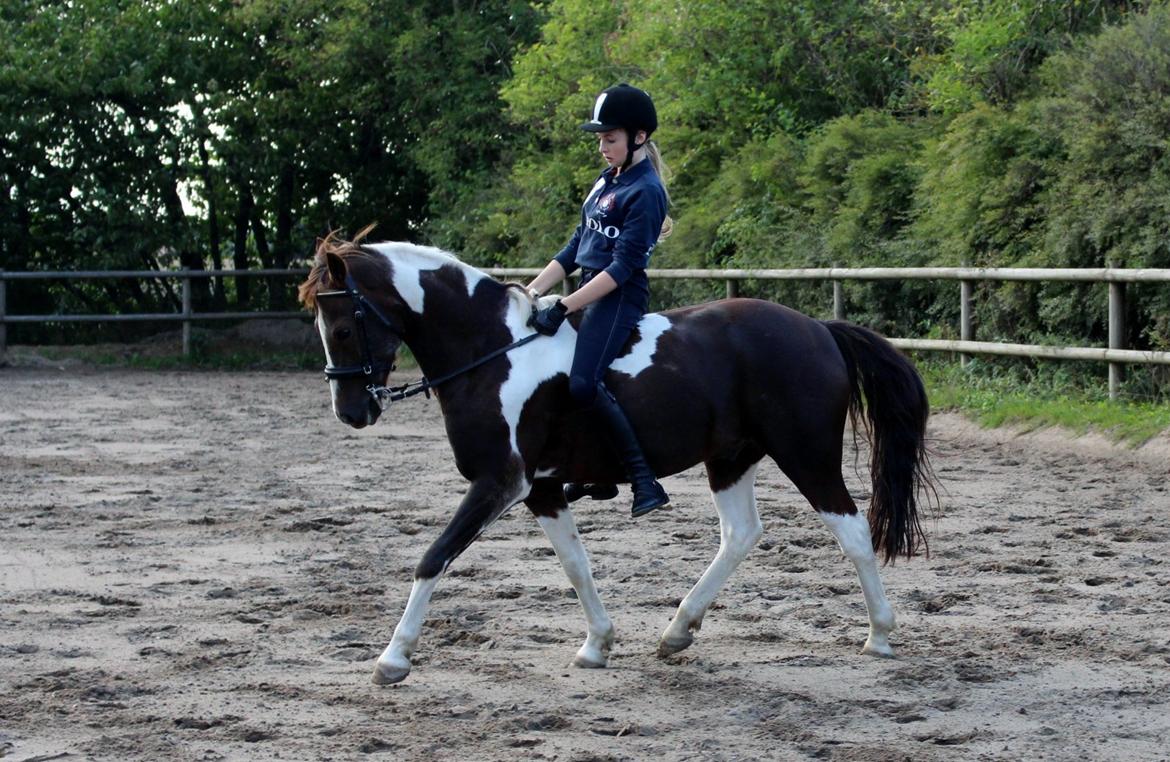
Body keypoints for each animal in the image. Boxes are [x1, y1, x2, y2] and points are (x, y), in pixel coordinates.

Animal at [297, 230, 935, 683]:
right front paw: (596, 644)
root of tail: (818, 329)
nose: (351, 412)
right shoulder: (541, 489)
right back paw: (678, 629)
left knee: (853, 531)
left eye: (344, 327)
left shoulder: (499, 482)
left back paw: (879, 635)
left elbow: (434, 557)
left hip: (807, 455)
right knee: (741, 534)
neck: (493, 351)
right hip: (731, 457)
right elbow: (575, 565)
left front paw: (393, 658)